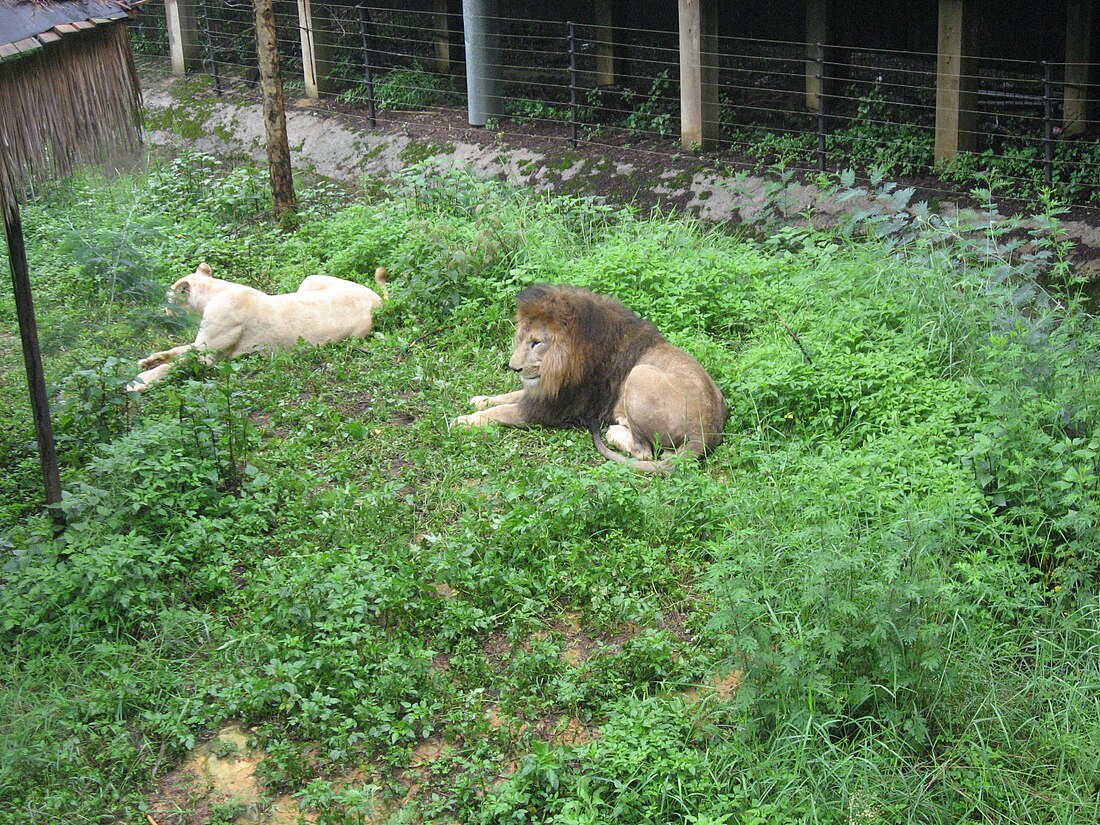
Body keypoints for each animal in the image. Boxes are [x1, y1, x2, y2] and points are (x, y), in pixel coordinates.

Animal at [128, 265, 389, 393]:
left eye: (167, 299)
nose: (163, 314)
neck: (213, 295)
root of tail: (378, 299)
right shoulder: (201, 344)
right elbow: (177, 350)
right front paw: (149, 360)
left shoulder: (208, 357)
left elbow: (172, 366)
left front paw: (139, 381)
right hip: (310, 280)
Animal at [451, 283, 726, 470]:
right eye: (521, 339)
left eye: (536, 343)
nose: (513, 367)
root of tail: (705, 432)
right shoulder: (547, 391)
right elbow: (510, 395)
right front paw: (481, 399)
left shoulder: (551, 409)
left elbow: (500, 412)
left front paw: (464, 421)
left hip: (640, 373)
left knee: (645, 452)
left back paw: (615, 431)